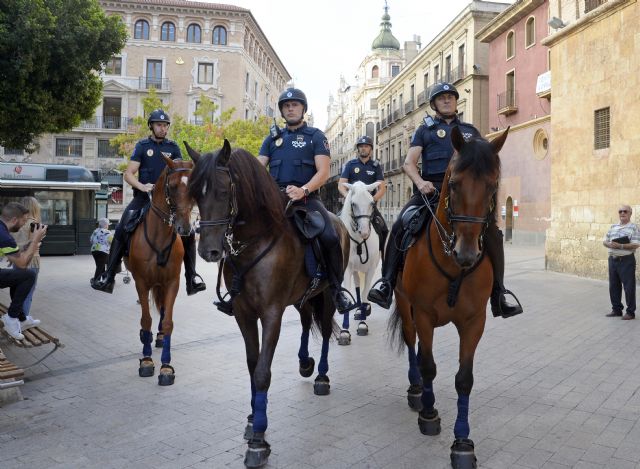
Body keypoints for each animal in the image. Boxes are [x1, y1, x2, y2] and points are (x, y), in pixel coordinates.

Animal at [125, 155, 194, 386]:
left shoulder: (172, 282)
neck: (159, 235)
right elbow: (146, 319)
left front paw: (166, 367)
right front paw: (146, 361)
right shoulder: (141, 282)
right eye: (171, 186)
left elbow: (168, 321)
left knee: (163, 310)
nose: (184, 228)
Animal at [184, 140, 350, 468]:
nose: (208, 251)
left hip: (326, 294)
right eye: (196, 193)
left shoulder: (271, 314)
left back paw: (321, 375)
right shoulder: (244, 314)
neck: (257, 242)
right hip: (302, 297)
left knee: (325, 331)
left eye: (222, 191)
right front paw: (252, 418)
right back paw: (304, 362)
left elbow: (262, 372)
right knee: (304, 322)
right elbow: (252, 364)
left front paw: (259, 440)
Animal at [338, 181, 382, 342]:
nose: (364, 232)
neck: (359, 242)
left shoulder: (371, 269)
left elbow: (364, 295)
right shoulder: (347, 270)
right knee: (357, 285)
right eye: (353, 204)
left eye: (371, 203)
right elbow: (350, 293)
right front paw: (344, 331)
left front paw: (363, 324)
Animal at [388, 125, 508, 468]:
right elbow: (428, 365)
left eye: (492, 186)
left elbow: (464, 378)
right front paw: (429, 414)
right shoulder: (424, 314)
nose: (466, 254)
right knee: (413, 345)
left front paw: (462, 443)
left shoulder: (474, 322)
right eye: (453, 184)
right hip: (406, 307)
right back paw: (417, 392)